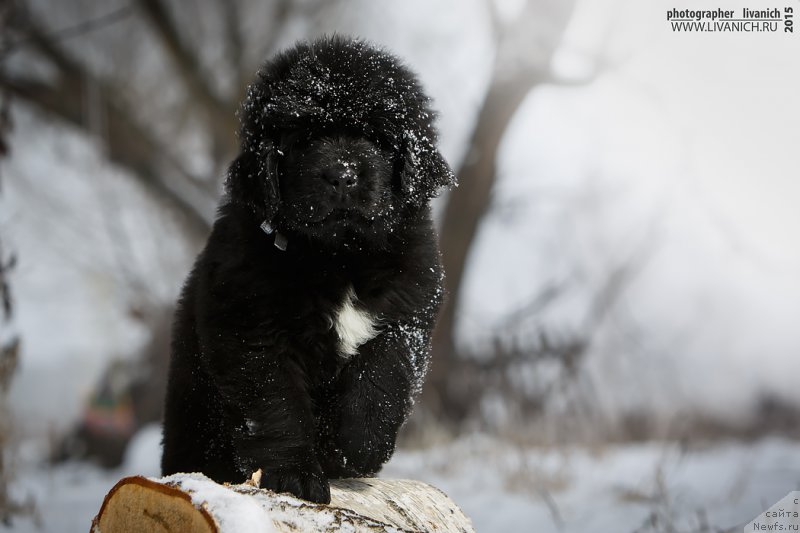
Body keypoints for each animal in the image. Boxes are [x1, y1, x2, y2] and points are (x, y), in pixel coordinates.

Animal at [159, 36, 454, 502]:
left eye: (376, 136)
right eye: (301, 139)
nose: (342, 175)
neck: (338, 256)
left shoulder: (407, 311)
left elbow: (381, 378)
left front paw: (353, 451)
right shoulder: (251, 327)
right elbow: (277, 402)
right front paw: (296, 476)